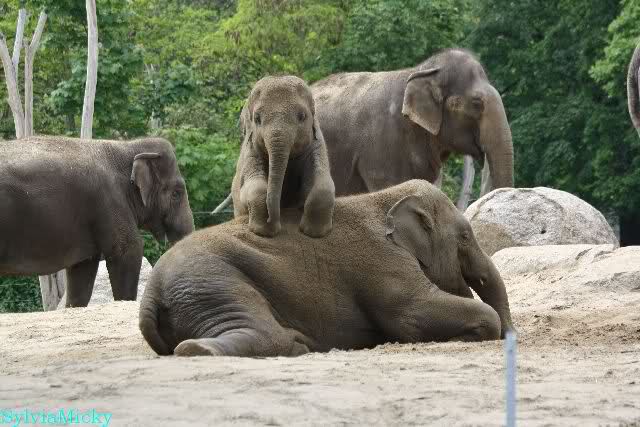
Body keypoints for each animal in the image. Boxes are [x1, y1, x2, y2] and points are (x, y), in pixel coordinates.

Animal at [139, 179, 514, 357]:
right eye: (464, 236)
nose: (514, 337)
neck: (385, 197)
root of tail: (150, 296)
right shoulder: (382, 261)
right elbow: (412, 313)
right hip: (213, 284)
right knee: (268, 334)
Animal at [231, 75, 335, 238]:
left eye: (302, 116)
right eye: (257, 118)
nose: (271, 219)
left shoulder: (317, 146)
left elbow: (323, 183)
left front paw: (313, 233)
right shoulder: (251, 151)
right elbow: (254, 187)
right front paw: (264, 231)